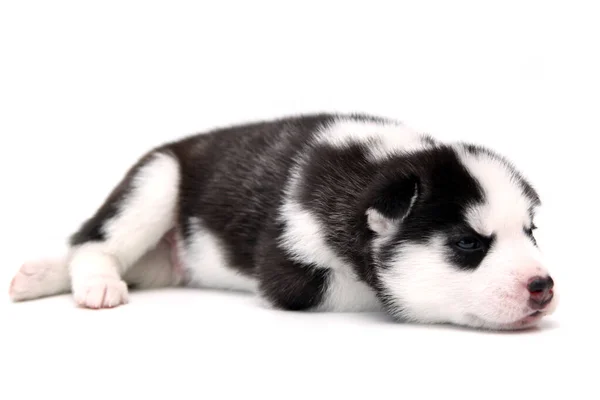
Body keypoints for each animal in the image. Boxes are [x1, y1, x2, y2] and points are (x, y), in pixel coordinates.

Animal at [9, 113, 556, 332]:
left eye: (530, 233)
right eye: (467, 243)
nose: (542, 286)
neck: (375, 166)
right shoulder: (288, 273)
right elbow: (378, 292)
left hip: (165, 259)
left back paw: (37, 275)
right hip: (158, 180)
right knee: (93, 241)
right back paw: (95, 283)